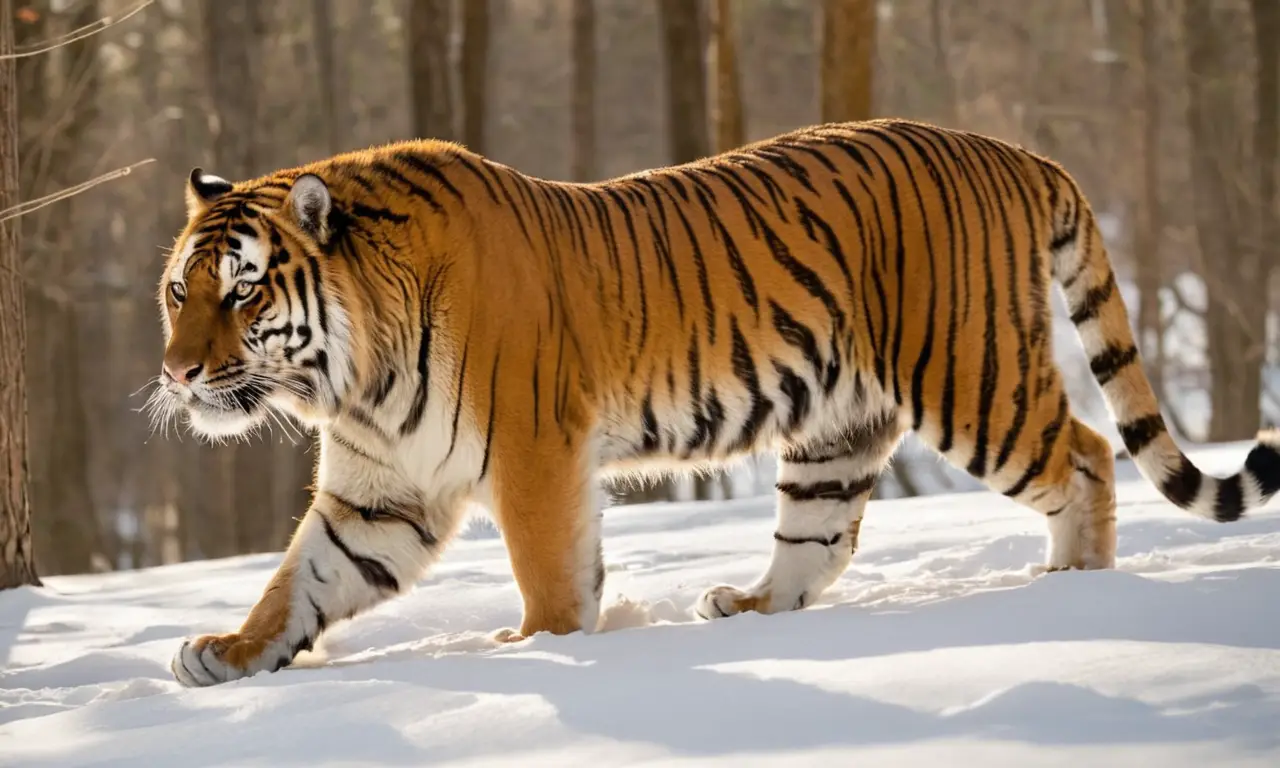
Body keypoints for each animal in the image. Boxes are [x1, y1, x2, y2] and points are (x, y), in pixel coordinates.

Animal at [154, 117, 1280, 687]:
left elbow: (548, 569)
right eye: (178, 291)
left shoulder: (533, 451)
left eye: (242, 291)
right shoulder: (384, 486)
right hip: (836, 425)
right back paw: (748, 608)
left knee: (1085, 452)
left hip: (968, 377)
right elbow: (303, 578)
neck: (352, 377)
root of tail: (1016, 150)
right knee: (820, 537)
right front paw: (230, 654)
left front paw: (540, 652)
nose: (179, 374)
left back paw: (1072, 590)